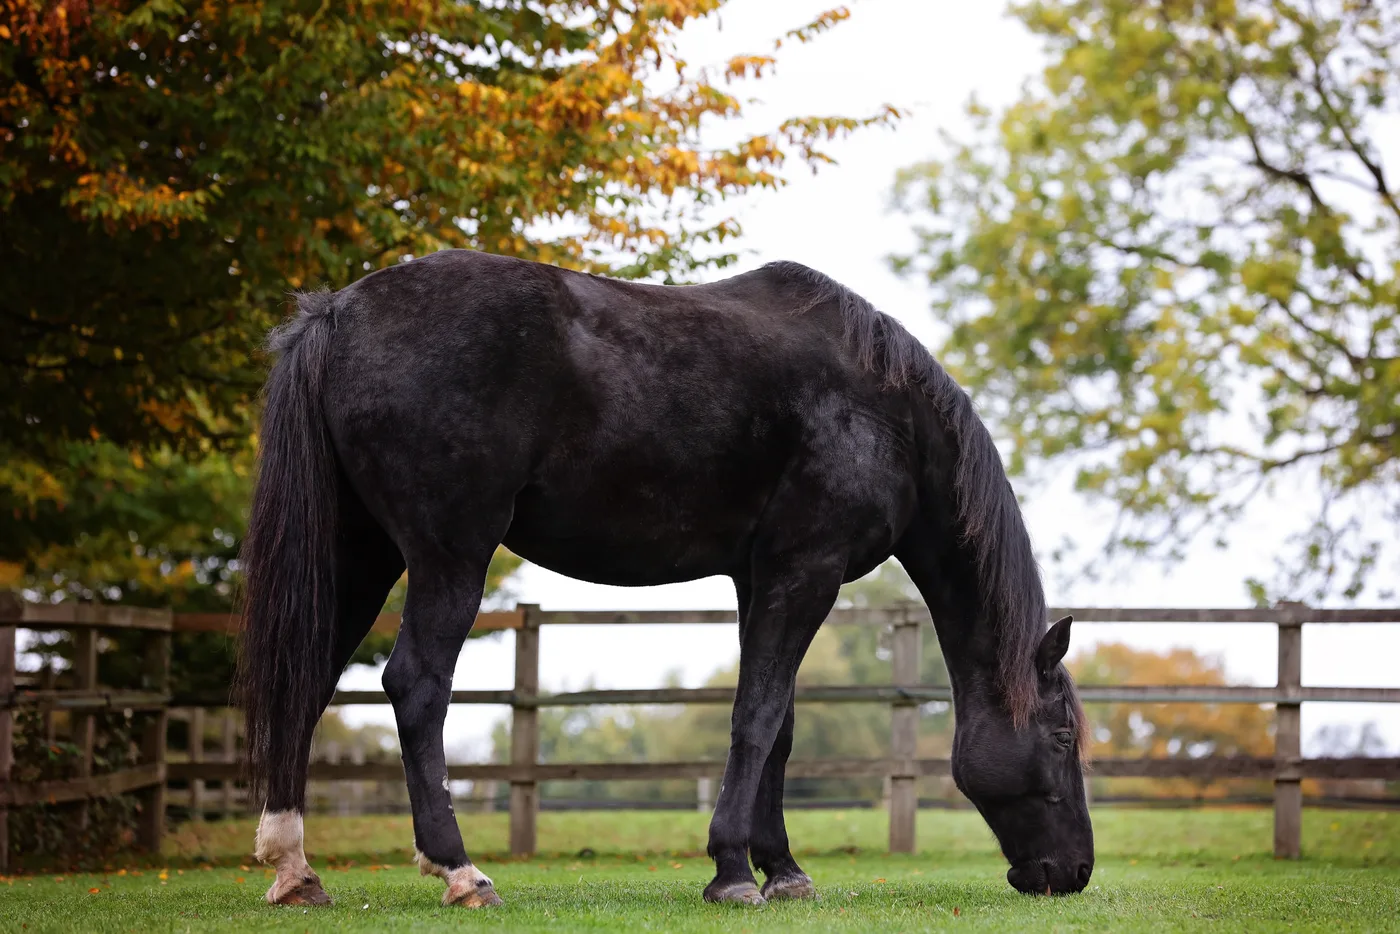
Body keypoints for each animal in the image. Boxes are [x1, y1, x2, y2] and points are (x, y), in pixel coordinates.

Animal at [236, 249, 1094, 908]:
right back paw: (460, 870)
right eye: (1062, 735)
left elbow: (778, 725)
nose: (1075, 871)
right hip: (450, 555)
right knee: (416, 686)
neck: (885, 411)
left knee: (304, 683)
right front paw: (733, 873)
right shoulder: (805, 570)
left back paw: (295, 871)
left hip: (360, 555)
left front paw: (781, 870)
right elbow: (757, 717)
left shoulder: (761, 579)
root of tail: (339, 313)